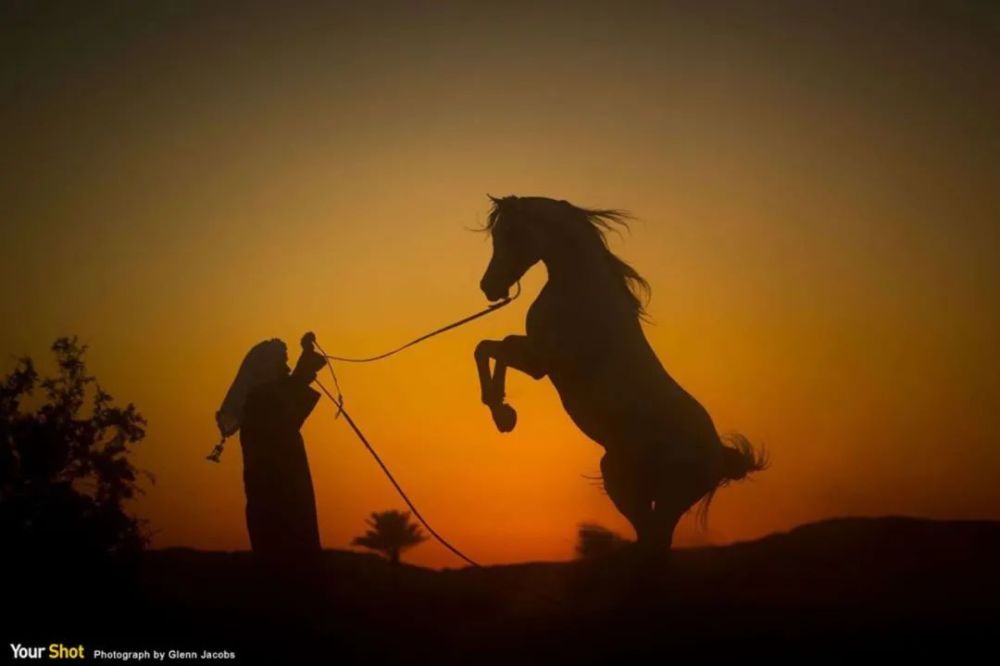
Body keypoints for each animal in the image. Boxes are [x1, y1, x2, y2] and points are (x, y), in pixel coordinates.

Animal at [476, 195, 764, 552]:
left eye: (511, 233)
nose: (489, 287)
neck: (581, 291)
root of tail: (719, 456)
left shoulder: (543, 360)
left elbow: (495, 350)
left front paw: (503, 414)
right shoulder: (535, 355)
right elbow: (488, 347)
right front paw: (502, 411)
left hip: (669, 497)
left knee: (656, 541)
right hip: (623, 483)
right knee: (649, 538)